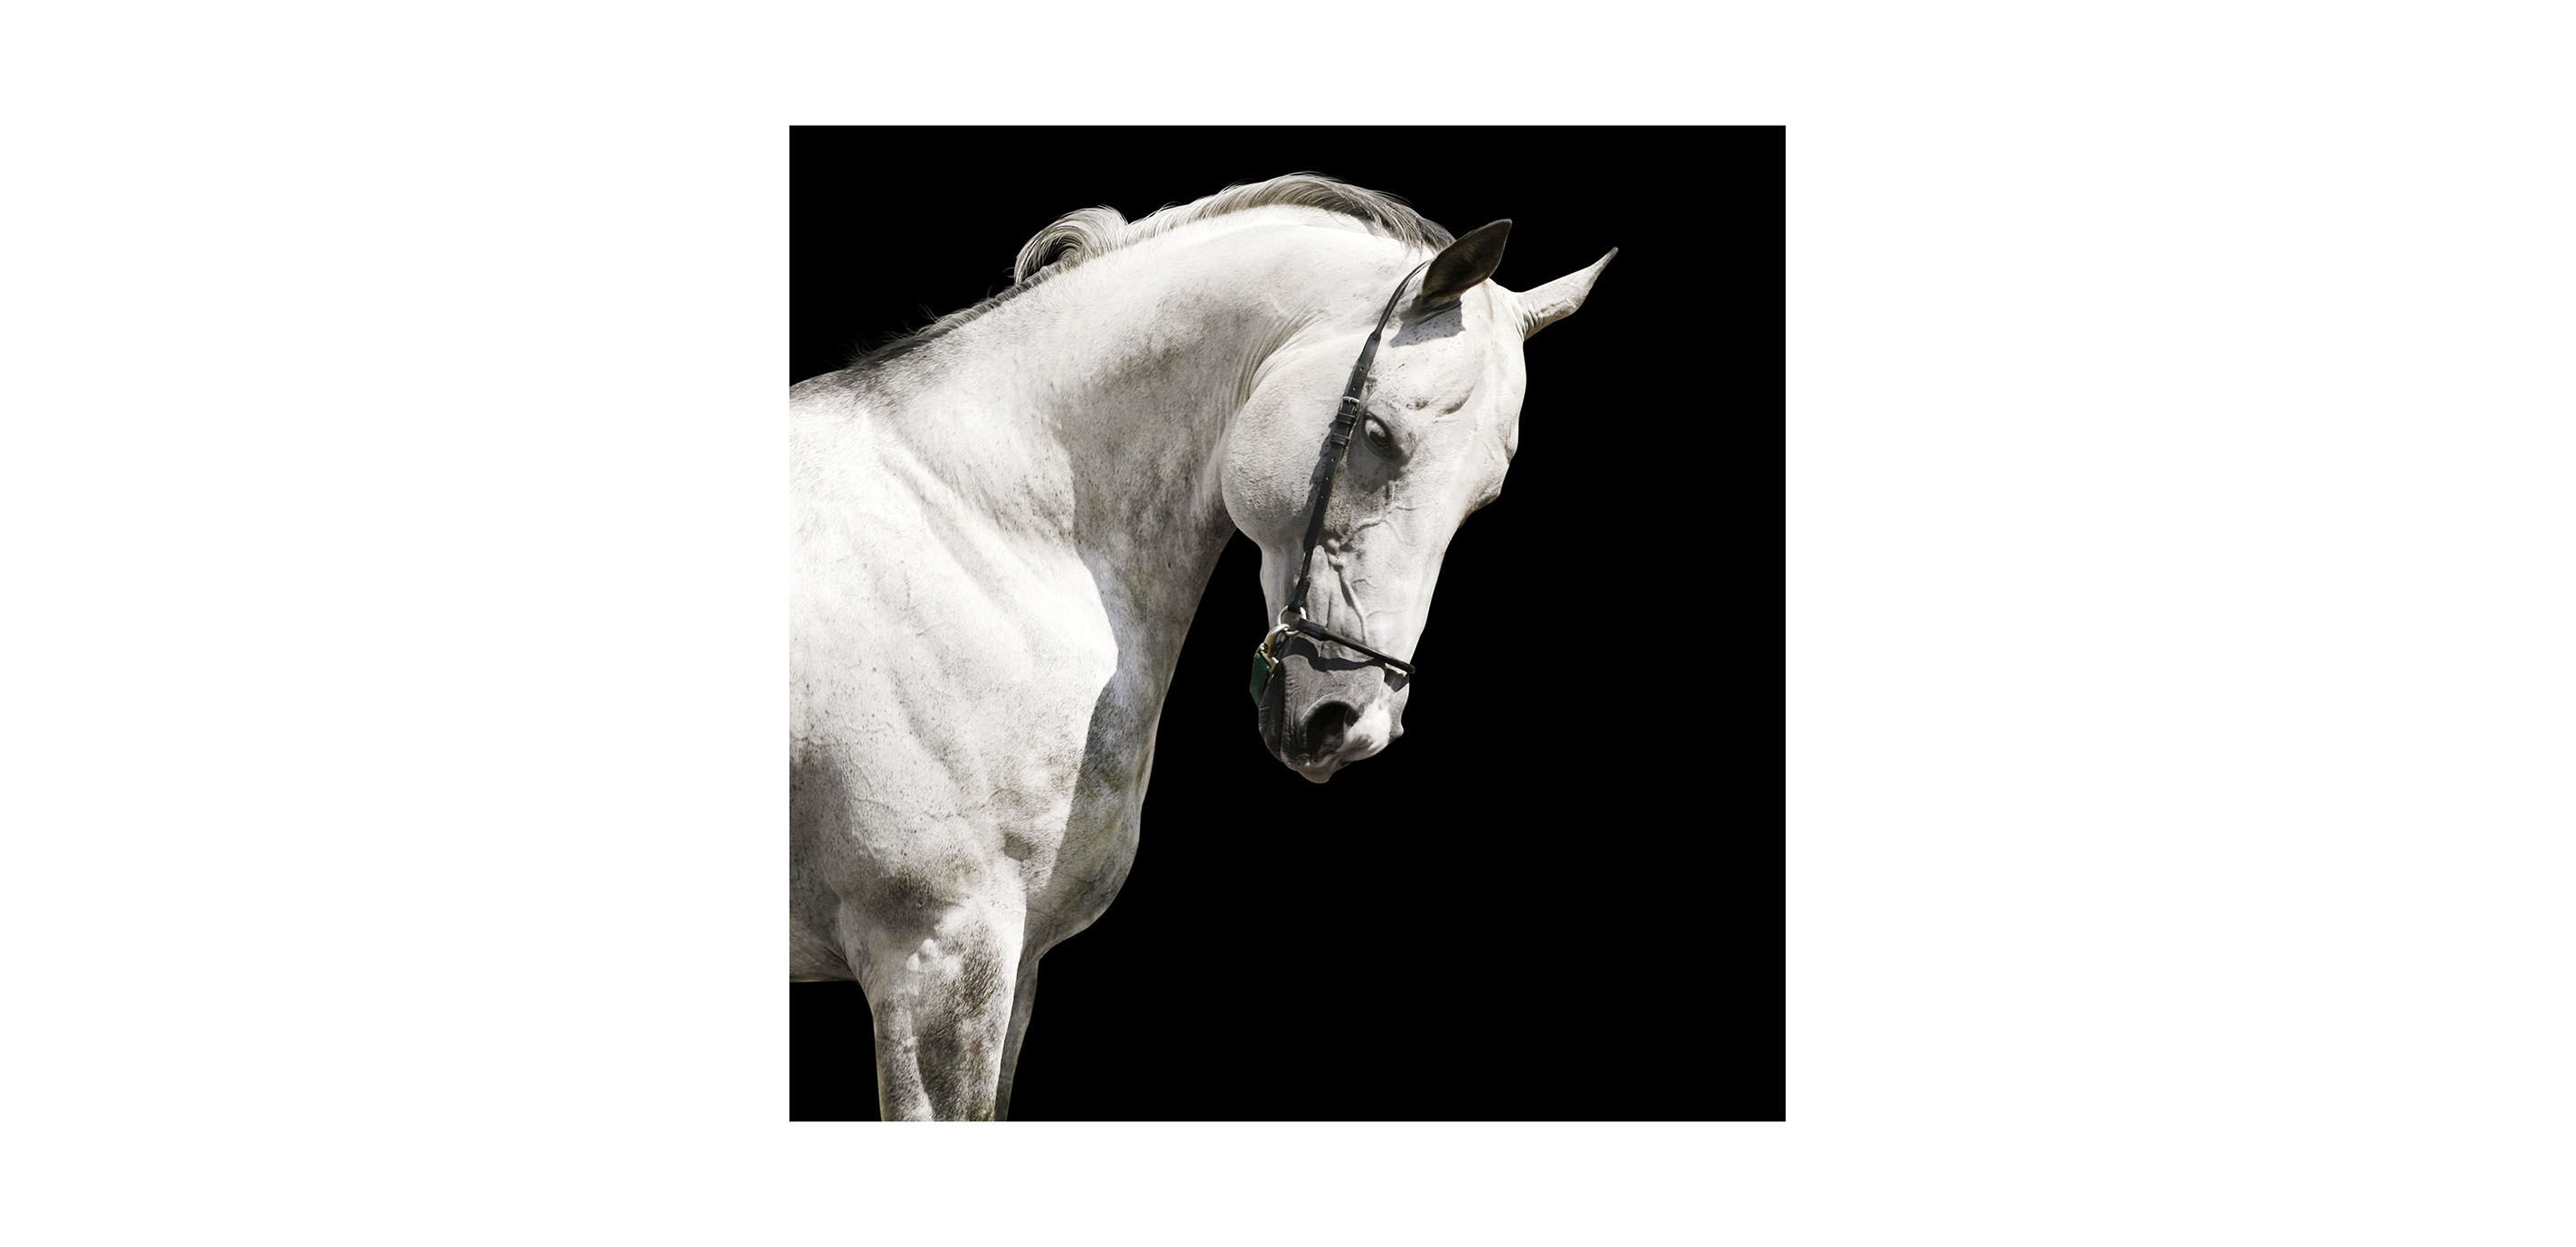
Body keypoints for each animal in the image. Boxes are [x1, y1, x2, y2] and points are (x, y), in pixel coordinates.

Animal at [790, 174, 1613, 1119]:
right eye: (1375, 432)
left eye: (1485, 496)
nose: (1351, 723)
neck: (983, 526)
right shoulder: (937, 957)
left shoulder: (1012, 965)